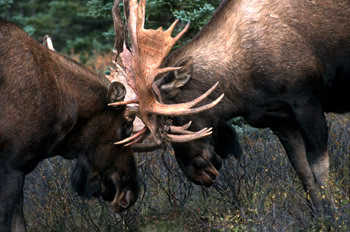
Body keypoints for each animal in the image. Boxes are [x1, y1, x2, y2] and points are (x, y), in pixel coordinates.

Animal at [113, 0, 350, 218]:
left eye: (173, 120)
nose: (198, 174)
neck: (241, 88)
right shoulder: (280, 120)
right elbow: (303, 171)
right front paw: (318, 217)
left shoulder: (307, 102)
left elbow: (319, 168)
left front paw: (333, 217)